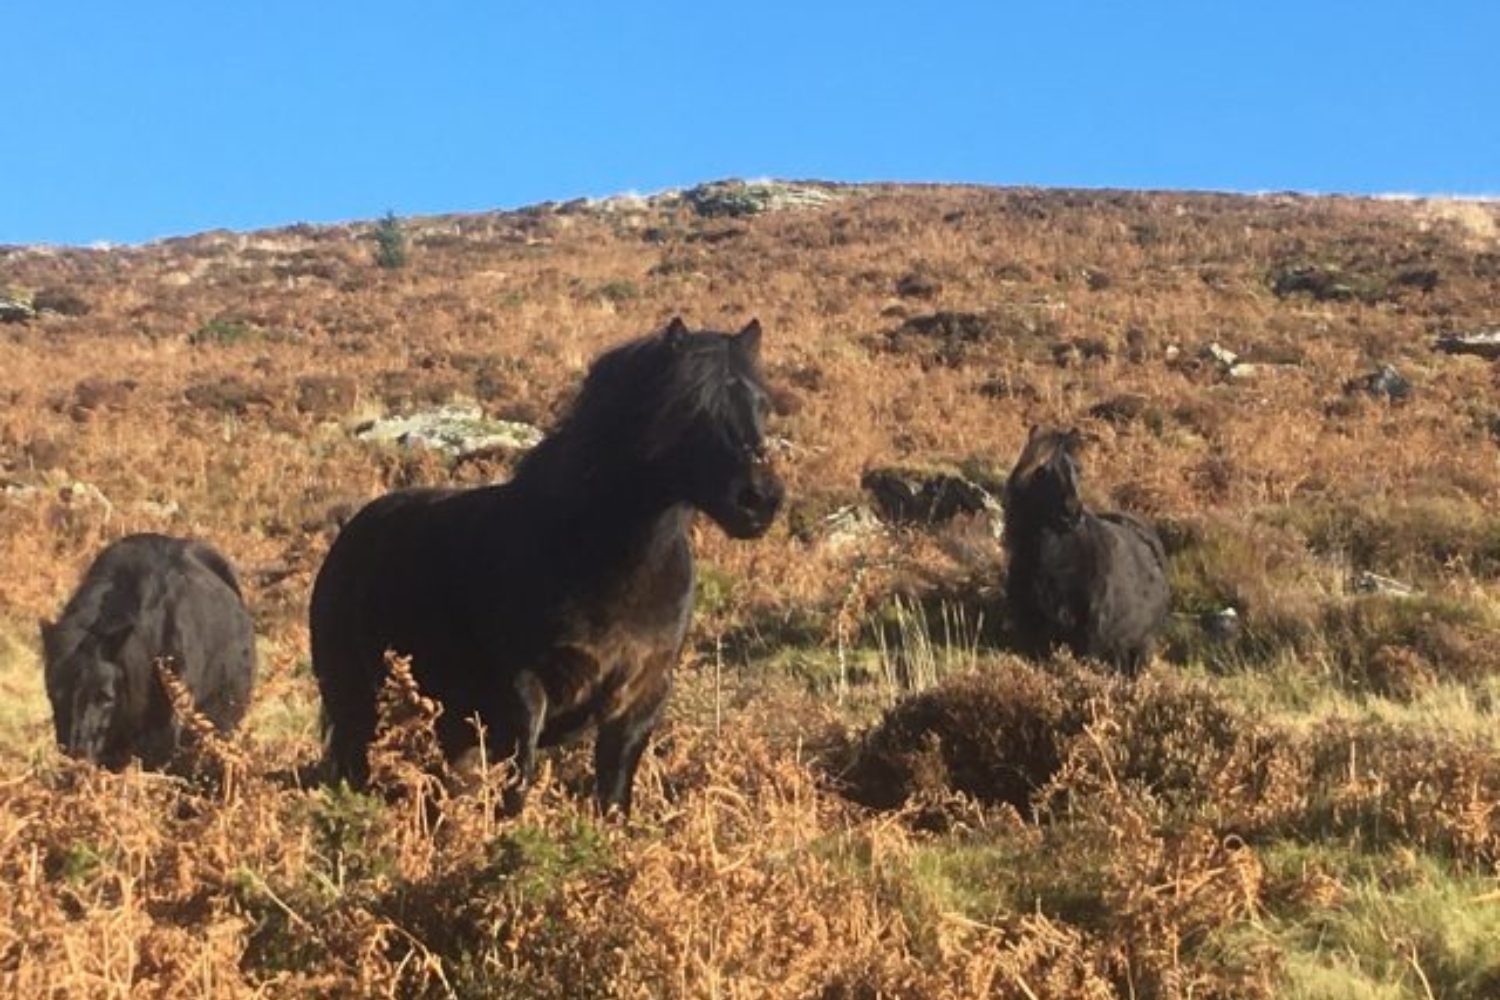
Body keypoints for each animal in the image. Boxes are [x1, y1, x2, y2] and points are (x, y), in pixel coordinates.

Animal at [309, 317, 784, 814]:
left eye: (763, 405)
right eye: (689, 406)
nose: (758, 500)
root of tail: (349, 536)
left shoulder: (640, 699)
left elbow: (612, 797)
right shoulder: (523, 693)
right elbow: (518, 786)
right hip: (360, 713)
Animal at [1002, 426, 1169, 674]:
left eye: (1078, 470)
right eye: (1042, 470)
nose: (1071, 514)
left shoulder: (1089, 638)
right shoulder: (1033, 634)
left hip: (1139, 645)